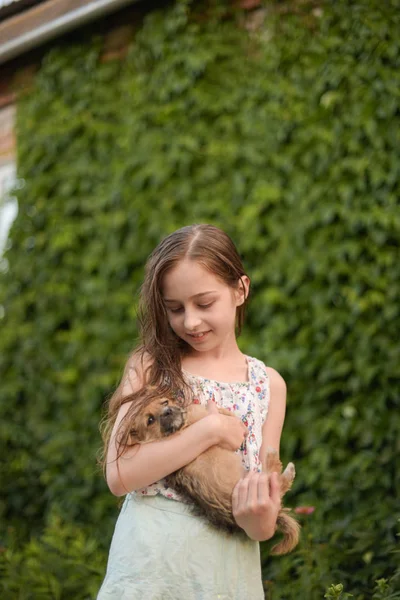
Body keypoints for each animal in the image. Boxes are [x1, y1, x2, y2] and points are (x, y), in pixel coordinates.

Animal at [129, 396, 300, 556]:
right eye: (150, 420)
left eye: (165, 402)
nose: (168, 411)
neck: (181, 427)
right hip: (255, 482)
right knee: (277, 481)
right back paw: (278, 462)